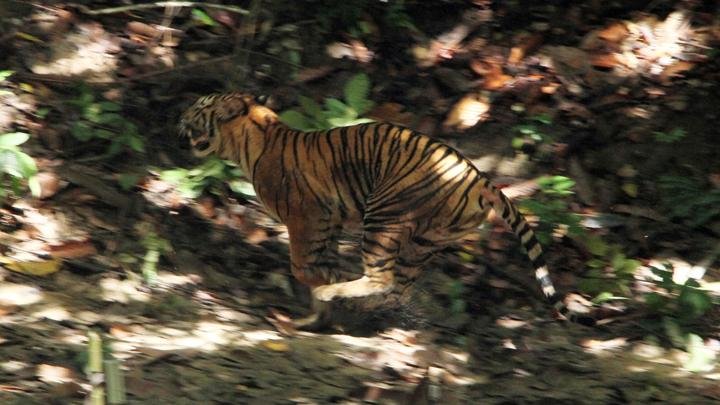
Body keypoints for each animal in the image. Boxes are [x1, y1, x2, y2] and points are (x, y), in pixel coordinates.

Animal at [179, 90, 584, 328]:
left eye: (199, 108)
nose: (178, 118)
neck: (255, 138)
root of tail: (479, 178)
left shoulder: (307, 218)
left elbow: (302, 265)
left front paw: (321, 289)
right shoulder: (327, 223)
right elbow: (320, 264)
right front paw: (317, 305)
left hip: (383, 215)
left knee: (383, 278)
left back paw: (338, 296)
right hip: (425, 240)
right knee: (398, 287)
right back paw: (358, 306)